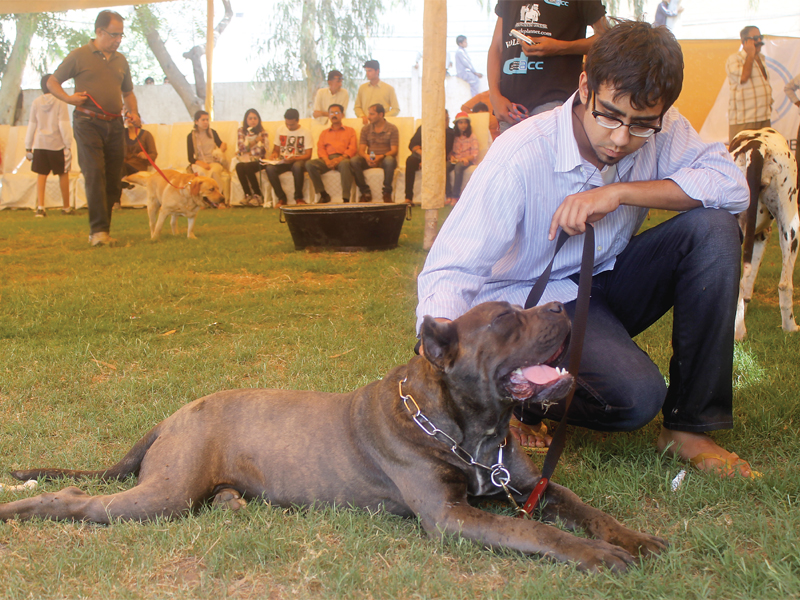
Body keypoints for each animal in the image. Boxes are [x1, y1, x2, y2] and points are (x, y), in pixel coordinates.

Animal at [0, 304, 664, 572]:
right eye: (505, 319)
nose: (561, 307)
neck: (469, 429)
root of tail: (173, 416)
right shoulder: (451, 516)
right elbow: (535, 531)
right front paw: (597, 555)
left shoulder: (529, 485)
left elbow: (585, 508)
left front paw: (634, 537)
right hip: (162, 495)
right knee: (78, 502)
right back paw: (24, 509)